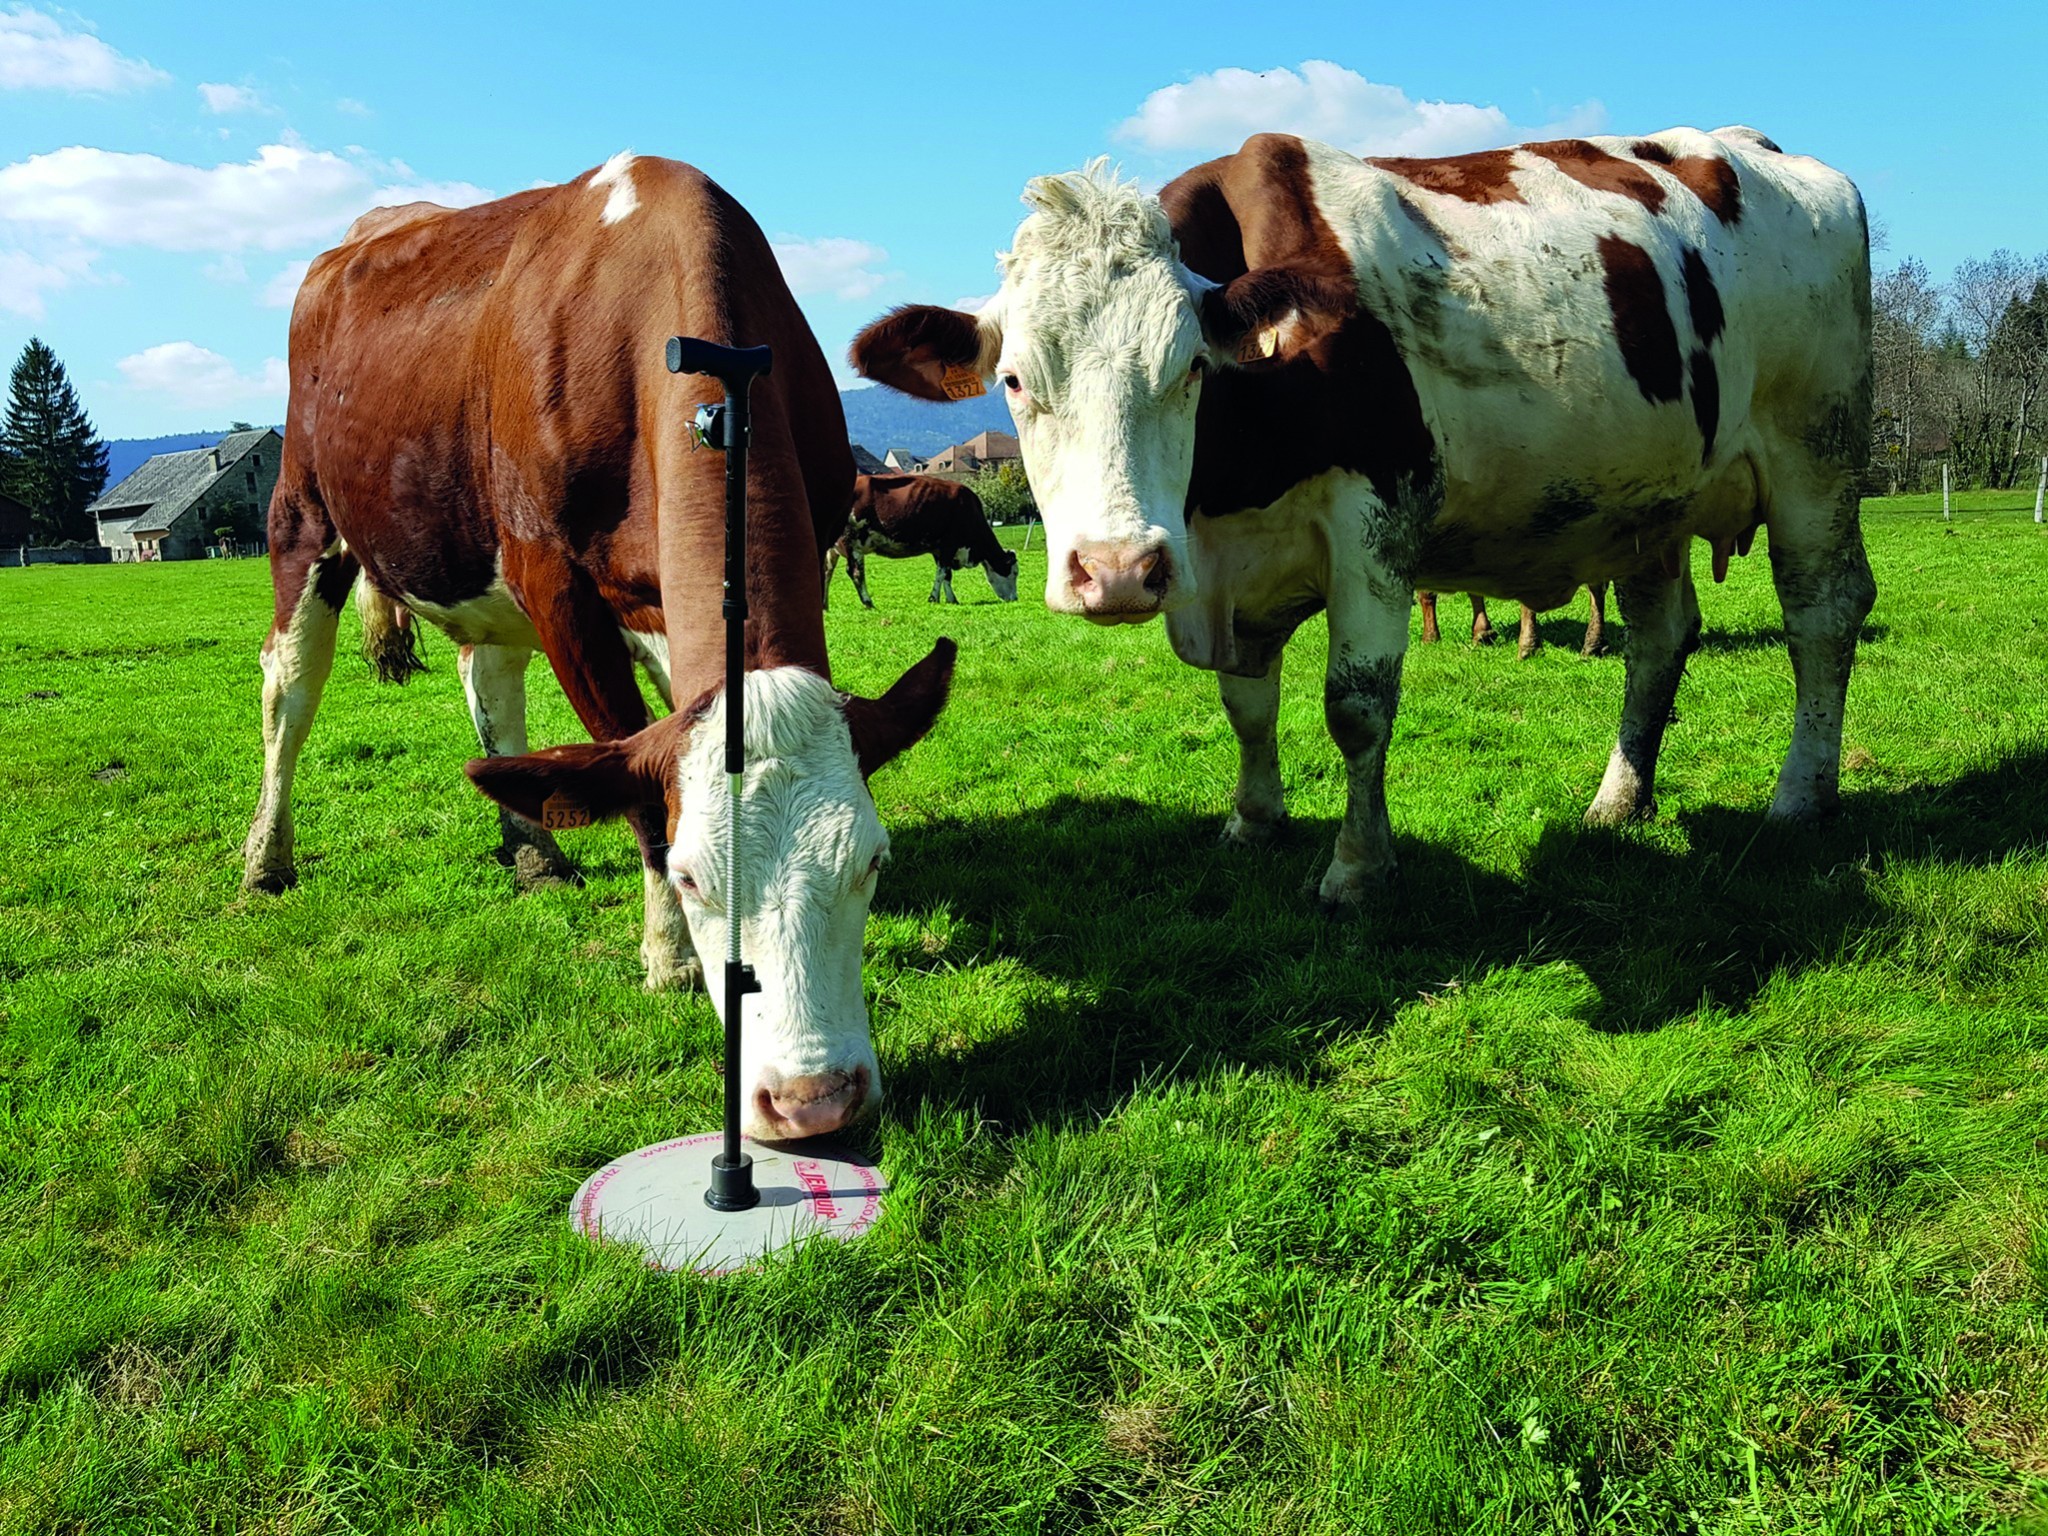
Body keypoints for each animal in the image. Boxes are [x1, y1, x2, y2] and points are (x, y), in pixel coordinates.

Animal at [245, 156, 958, 1146]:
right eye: (694, 878)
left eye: (874, 862)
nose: (814, 1102)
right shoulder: (556, 585)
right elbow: (628, 775)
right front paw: (669, 957)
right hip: (305, 513)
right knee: (290, 688)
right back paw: (267, 858)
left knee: (489, 681)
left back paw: (533, 849)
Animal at [823, 473, 1024, 610]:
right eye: (1014, 572)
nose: (1015, 598)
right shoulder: (948, 545)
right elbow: (941, 573)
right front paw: (933, 599)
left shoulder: (939, 549)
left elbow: (946, 575)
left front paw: (951, 599)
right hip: (852, 542)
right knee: (855, 573)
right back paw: (868, 602)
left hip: (833, 548)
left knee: (827, 571)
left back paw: (825, 605)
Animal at [847, 129, 1875, 913]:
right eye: (1016, 379)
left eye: (1190, 369)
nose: (1119, 570)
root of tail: (1764, 150)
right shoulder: (1232, 569)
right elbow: (1247, 705)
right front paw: (1252, 820)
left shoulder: (1376, 525)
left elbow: (1356, 706)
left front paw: (1356, 868)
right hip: (1648, 501)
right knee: (1660, 636)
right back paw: (1619, 801)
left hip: (1816, 453)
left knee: (1822, 614)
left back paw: (1800, 794)